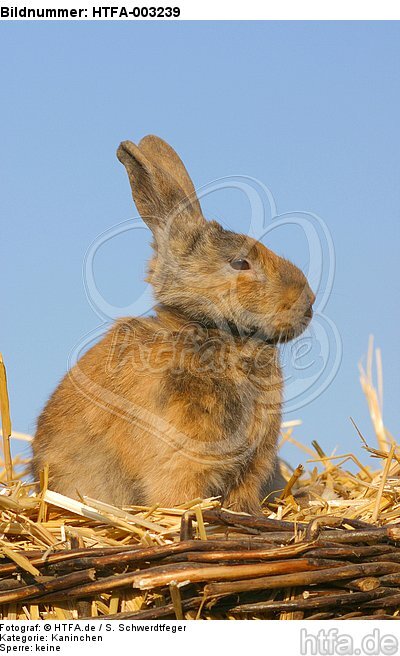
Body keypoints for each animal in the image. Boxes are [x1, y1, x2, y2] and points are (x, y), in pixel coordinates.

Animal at [32, 135, 315, 514]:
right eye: (240, 262)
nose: (308, 303)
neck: (214, 332)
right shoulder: (180, 459)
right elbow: (178, 494)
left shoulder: (252, 465)